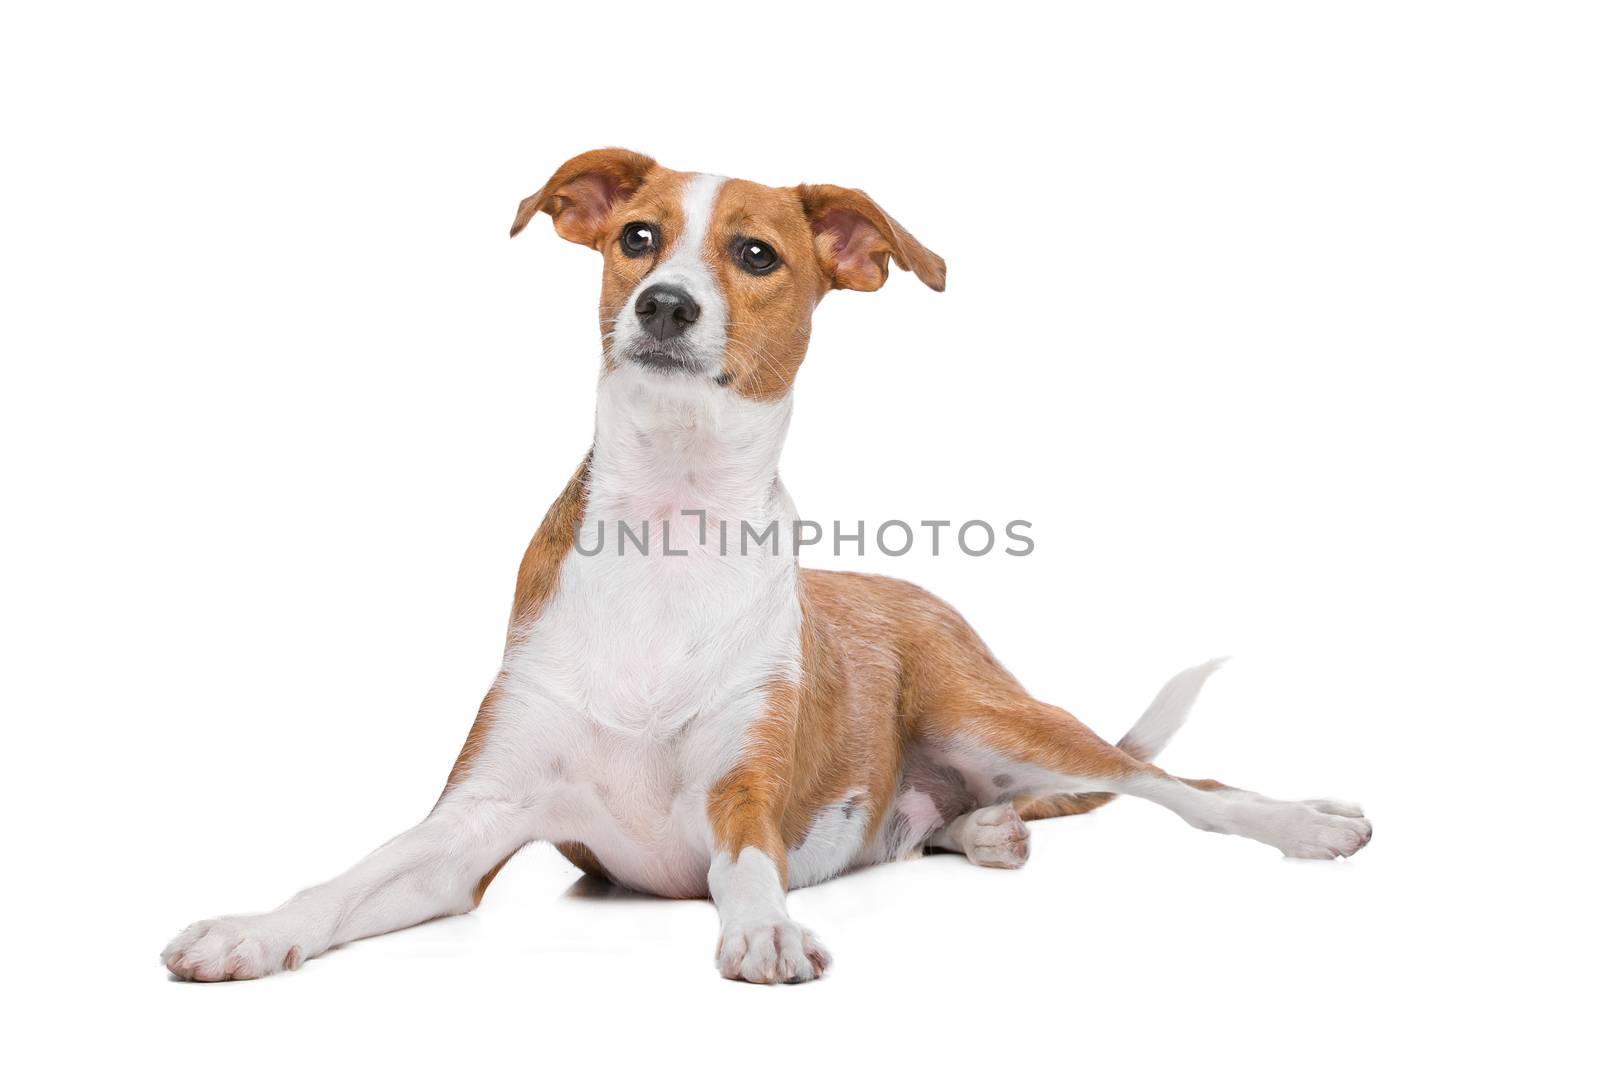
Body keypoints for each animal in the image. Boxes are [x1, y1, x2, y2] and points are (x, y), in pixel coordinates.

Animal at [162, 147, 1369, 985]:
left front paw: (767, 931)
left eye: (756, 255)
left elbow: (745, 863)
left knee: (1176, 786)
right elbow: (350, 873)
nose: (665, 303)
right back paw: (980, 827)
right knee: (972, 812)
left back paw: (1304, 821)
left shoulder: (746, 790)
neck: (670, 522)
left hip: (991, 711)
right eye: (638, 236)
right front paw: (252, 930)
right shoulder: (471, 824)